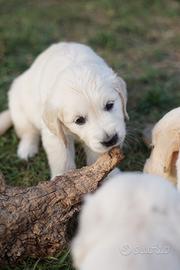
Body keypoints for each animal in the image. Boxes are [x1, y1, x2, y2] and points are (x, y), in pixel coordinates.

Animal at [0, 42, 128, 177]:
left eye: (109, 105)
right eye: (79, 120)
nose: (110, 140)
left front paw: (110, 175)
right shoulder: (55, 135)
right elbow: (62, 159)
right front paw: (62, 177)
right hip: (19, 108)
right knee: (28, 132)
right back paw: (27, 149)